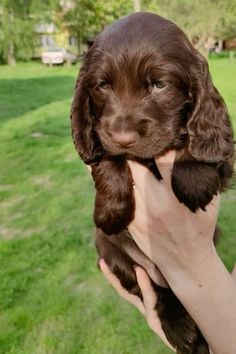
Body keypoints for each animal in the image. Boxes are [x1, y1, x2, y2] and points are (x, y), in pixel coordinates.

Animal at [70, 11, 234, 354]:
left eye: (160, 84)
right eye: (102, 85)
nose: (123, 137)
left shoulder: (226, 157)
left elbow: (201, 145)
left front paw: (194, 182)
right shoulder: (100, 138)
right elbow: (105, 154)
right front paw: (110, 210)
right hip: (112, 252)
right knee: (157, 289)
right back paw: (182, 329)